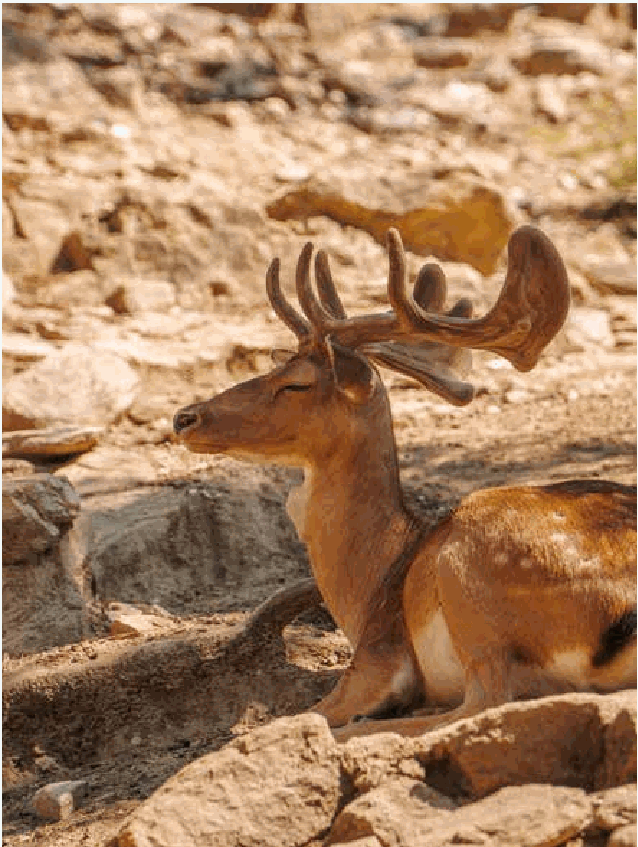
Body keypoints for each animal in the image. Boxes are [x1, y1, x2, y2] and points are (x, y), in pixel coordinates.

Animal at [173, 225, 637, 742]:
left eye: (296, 382)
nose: (185, 417)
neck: (372, 584)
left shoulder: (378, 655)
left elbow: (305, 713)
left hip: (470, 577)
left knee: (483, 701)